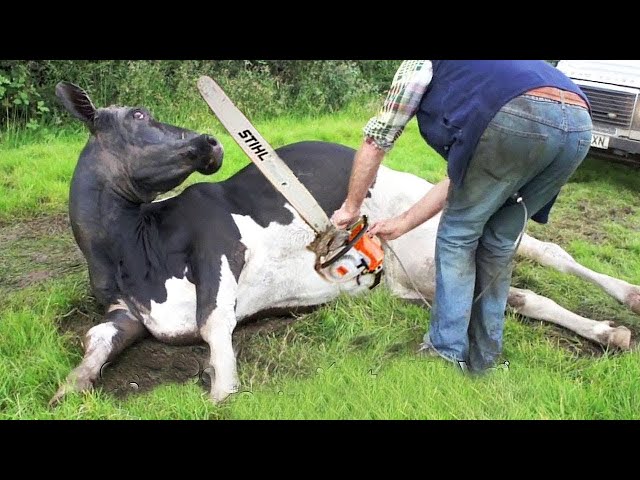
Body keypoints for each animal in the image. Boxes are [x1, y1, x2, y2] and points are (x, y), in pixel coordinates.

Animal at [51, 81, 640, 404]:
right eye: (137, 116)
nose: (210, 141)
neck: (131, 249)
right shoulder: (125, 312)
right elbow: (95, 342)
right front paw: (68, 388)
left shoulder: (216, 242)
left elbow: (214, 321)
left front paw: (222, 386)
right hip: (416, 279)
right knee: (516, 294)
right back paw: (610, 330)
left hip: (435, 231)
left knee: (546, 256)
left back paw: (622, 305)